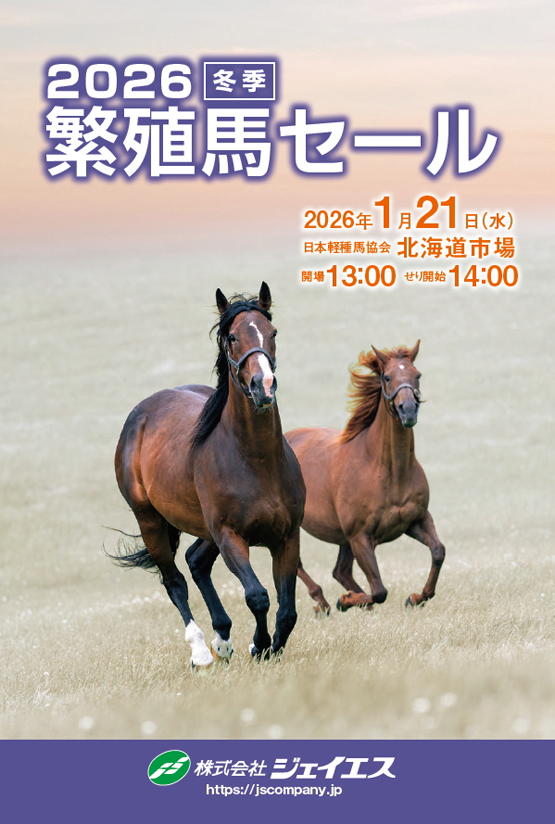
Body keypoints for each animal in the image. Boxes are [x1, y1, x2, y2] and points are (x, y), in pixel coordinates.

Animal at [110, 283, 305, 668]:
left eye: (272, 332)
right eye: (231, 337)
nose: (263, 385)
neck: (256, 460)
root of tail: (141, 414)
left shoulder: (287, 537)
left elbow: (287, 610)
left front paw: (268, 647)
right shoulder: (231, 536)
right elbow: (257, 595)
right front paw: (260, 645)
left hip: (204, 528)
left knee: (196, 562)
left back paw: (223, 640)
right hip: (151, 521)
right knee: (175, 581)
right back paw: (201, 650)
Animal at [286, 341, 445, 613]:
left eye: (417, 375)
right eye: (387, 377)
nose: (408, 411)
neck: (388, 471)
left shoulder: (417, 520)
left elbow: (438, 551)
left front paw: (416, 597)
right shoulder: (360, 537)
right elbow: (380, 591)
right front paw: (345, 600)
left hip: (343, 538)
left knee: (340, 571)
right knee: (299, 565)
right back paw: (323, 603)